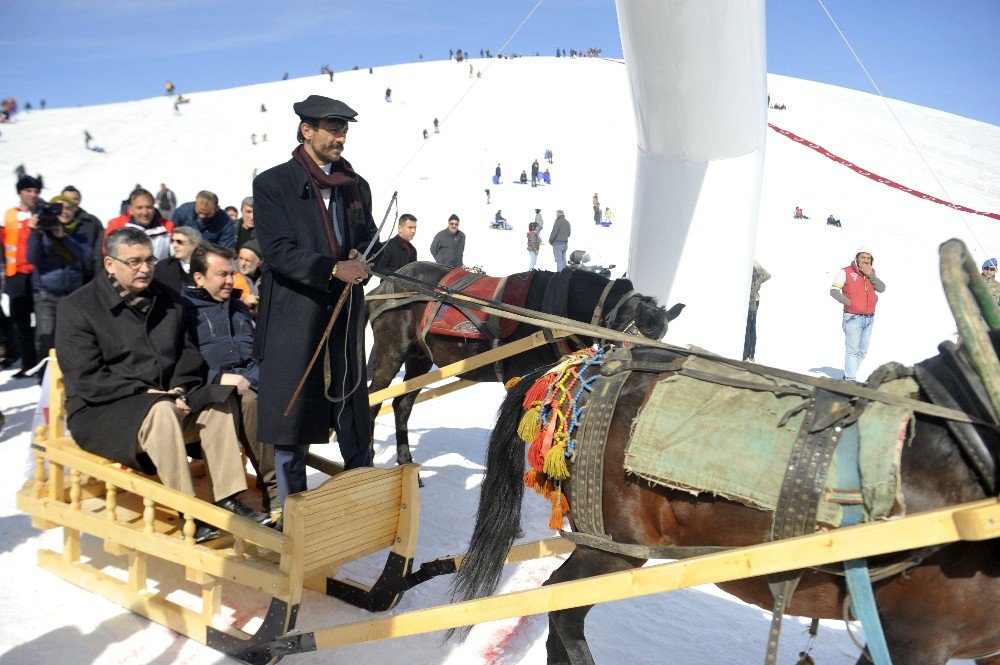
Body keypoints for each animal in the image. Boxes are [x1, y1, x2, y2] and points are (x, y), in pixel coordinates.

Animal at [370, 260, 688, 466]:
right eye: (635, 344)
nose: (644, 389)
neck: (551, 312)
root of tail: (387, 283)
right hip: (392, 351)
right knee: (373, 400)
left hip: (420, 358)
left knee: (402, 404)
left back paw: (405, 459)